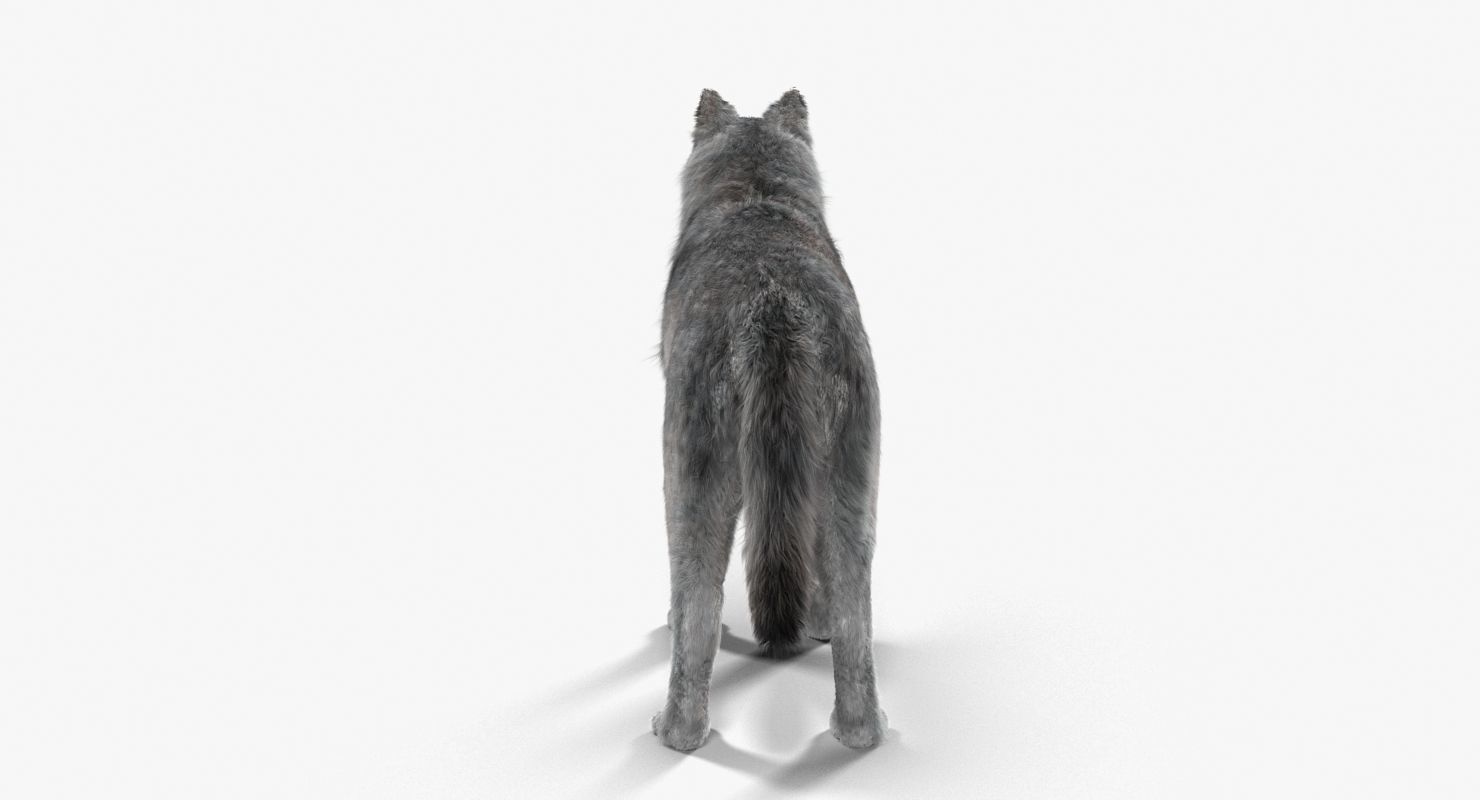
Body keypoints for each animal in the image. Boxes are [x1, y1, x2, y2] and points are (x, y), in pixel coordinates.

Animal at [652, 89, 886, 751]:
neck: (757, 193)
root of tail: (774, 303)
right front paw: (816, 622)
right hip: (851, 486)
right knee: (856, 626)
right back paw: (859, 734)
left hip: (691, 481)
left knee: (699, 614)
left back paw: (675, 732)